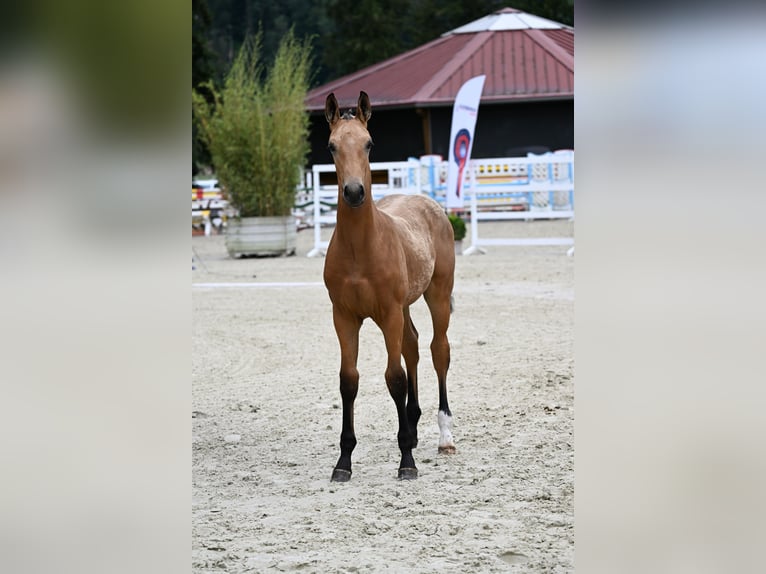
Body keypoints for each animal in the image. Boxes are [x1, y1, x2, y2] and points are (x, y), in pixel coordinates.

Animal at [322, 92, 456, 484]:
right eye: (332, 146)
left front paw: (406, 460)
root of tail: (429, 203)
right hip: (406, 305)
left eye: (369, 143)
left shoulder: (388, 313)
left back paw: (444, 436)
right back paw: (412, 424)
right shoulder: (344, 317)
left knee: (438, 350)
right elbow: (348, 380)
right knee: (412, 345)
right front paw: (343, 461)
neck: (359, 249)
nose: (354, 191)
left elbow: (394, 378)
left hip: (436, 296)